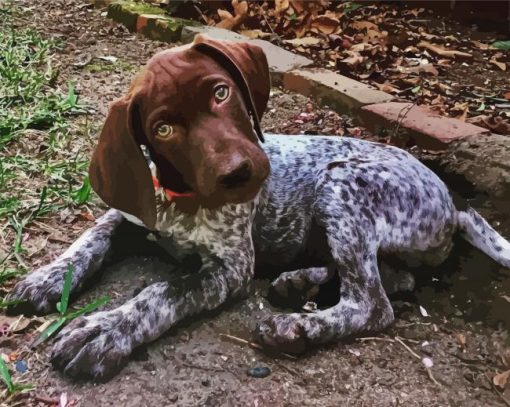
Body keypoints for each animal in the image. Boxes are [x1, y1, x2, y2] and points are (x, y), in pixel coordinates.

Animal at [5, 35, 508, 382]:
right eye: (163, 128)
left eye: (221, 93)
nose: (239, 174)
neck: (182, 200)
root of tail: (454, 199)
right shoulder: (128, 215)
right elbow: (90, 238)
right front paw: (48, 277)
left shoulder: (231, 269)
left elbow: (164, 291)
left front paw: (108, 329)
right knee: (393, 280)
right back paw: (299, 283)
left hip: (341, 183)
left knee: (372, 303)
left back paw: (297, 328)